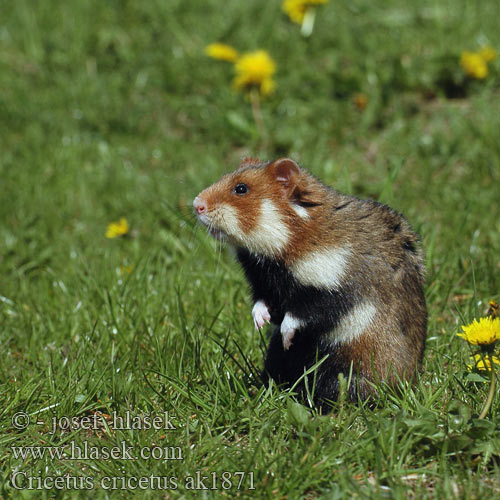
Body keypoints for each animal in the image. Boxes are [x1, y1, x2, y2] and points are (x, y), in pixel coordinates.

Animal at [193, 157, 428, 410]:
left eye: (241, 188)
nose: (196, 205)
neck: (291, 235)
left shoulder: (338, 289)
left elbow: (302, 315)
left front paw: (287, 336)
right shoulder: (266, 285)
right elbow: (263, 304)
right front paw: (258, 323)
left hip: (345, 371)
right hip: (276, 356)